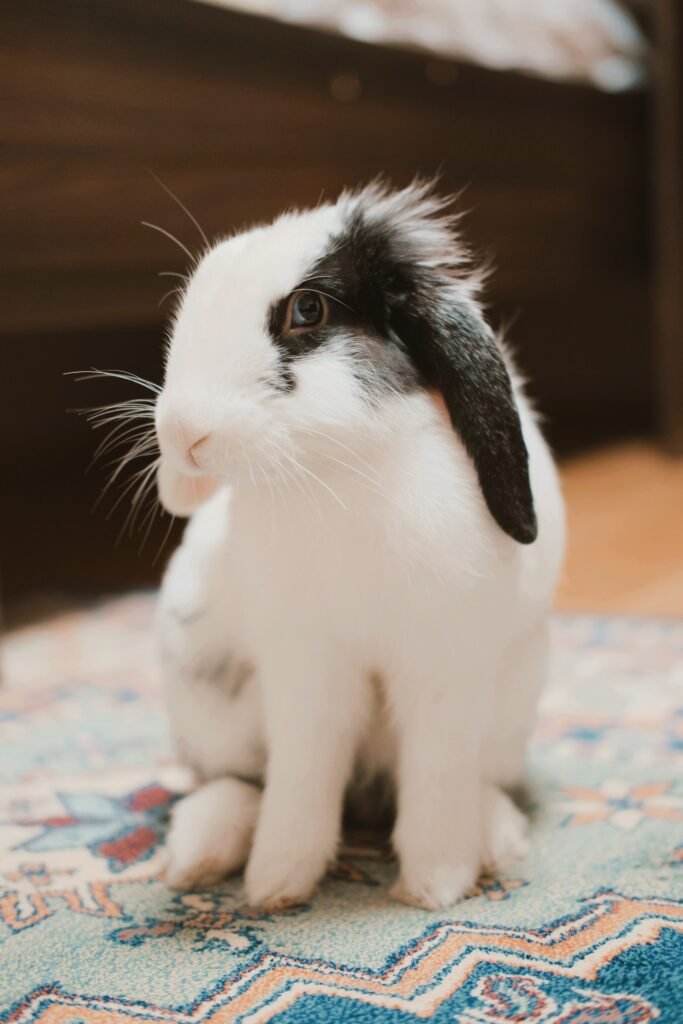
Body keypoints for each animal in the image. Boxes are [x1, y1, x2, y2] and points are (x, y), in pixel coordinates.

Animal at [154, 180, 565, 911]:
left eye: (306, 309)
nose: (183, 434)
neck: (336, 473)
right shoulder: (304, 668)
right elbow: (302, 773)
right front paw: (276, 884)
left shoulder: (444, 667)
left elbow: (436, 773)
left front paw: (435, 885)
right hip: (206, 696)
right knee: (237, 779)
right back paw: (200, 855)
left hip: (514, 702)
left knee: (476, 779)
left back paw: (494, 837)